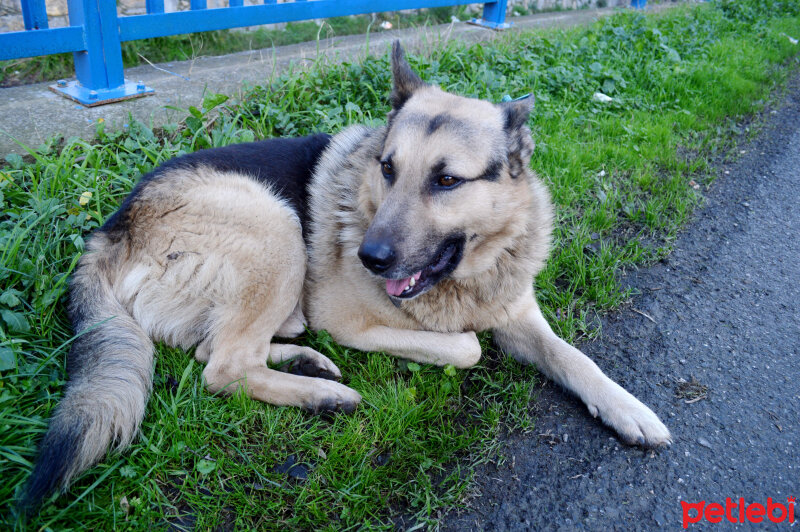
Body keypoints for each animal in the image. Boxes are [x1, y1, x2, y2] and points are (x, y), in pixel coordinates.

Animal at [23, 40, 668, 508]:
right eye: (387, 168)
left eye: (447, 181)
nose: (369, 257)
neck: (468, 271)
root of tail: (111, 227)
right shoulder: (351, 322)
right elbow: (467, 348)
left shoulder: (517, 310)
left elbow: (574, 358)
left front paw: (630, 409)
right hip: (275, 227)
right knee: (222, 367)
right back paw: (323, 395)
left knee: (216, 349)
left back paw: (305, 362)